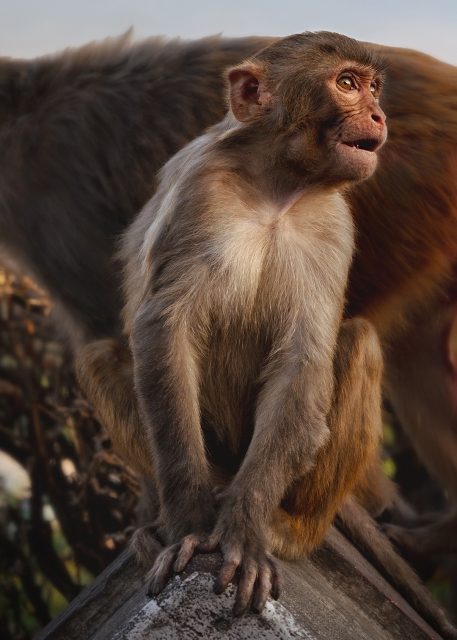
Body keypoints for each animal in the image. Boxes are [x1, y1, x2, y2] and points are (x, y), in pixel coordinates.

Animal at [2, 30, 457, 562]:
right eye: (347, 84)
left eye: (373, 89)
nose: (381, 115)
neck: (277, 187)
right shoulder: (199, 190)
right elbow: (164, 331)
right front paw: (185, 516)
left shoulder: (337, 223)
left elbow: (303, 358)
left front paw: (244, 523)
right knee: (100, 358)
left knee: (362, 343)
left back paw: (298, 526)